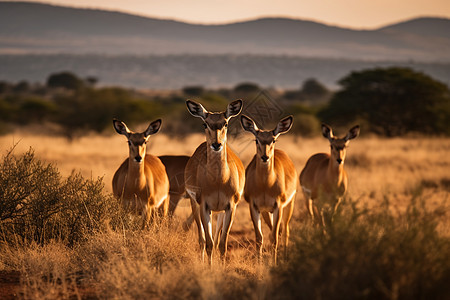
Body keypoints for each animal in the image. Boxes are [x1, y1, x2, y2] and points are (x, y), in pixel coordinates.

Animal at [184, 99, 244, 262]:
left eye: (226, 123)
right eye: (205, 123)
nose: (216, 144)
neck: (218, 181)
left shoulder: (231, 207)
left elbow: (222, 244)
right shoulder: (204, 206)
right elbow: (208, 243)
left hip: (220, 211)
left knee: (216, 240)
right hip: (195, 205)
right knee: (202, 240)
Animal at [241, 113, 298, 264]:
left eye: (273, 139)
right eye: (257, 139)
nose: (265, 157)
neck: (265, 185)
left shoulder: (278, 206)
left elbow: (274, 237)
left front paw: (274, 263)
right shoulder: (254, 206)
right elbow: (259, 238)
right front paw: (259, 264)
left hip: (289, 205)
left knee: (285, 230)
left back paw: (285, 256)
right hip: (267, 211)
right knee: (276, 230)